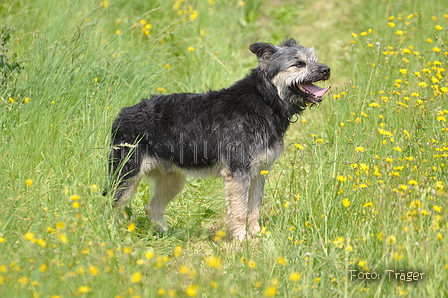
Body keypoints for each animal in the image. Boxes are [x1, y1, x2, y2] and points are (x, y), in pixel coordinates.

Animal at [105, 39, 328, 240]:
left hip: (172, 179)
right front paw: (241, 239)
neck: (265, 100)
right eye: (298, 64)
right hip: (126, 175)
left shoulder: (259, 172)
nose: (326, 70)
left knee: (152, 208)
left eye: (314, 59)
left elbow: (254, 208)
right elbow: (239, 210)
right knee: (111, 205)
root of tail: (122, 115)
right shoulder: (238, 173)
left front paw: (256, 234)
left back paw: (167, 235)